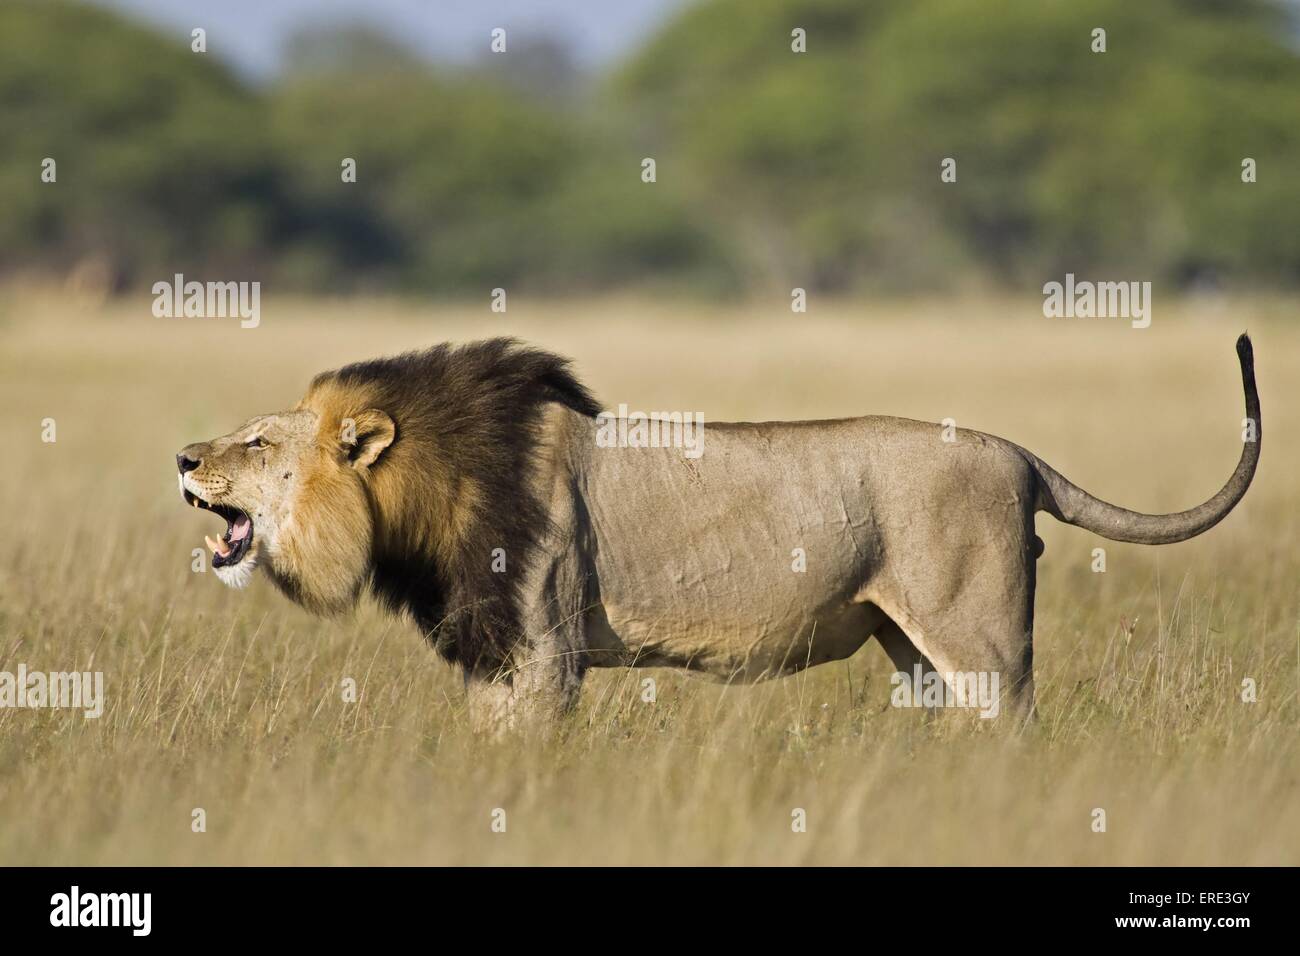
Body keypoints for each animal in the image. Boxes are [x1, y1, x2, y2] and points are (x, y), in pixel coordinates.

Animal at [177, 335, 1260, 732]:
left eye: (259, 440)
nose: (184, 458)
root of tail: (1022, 456)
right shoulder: (492, 646)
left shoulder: (542, 641)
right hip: (913, 646)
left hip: (985, 637)